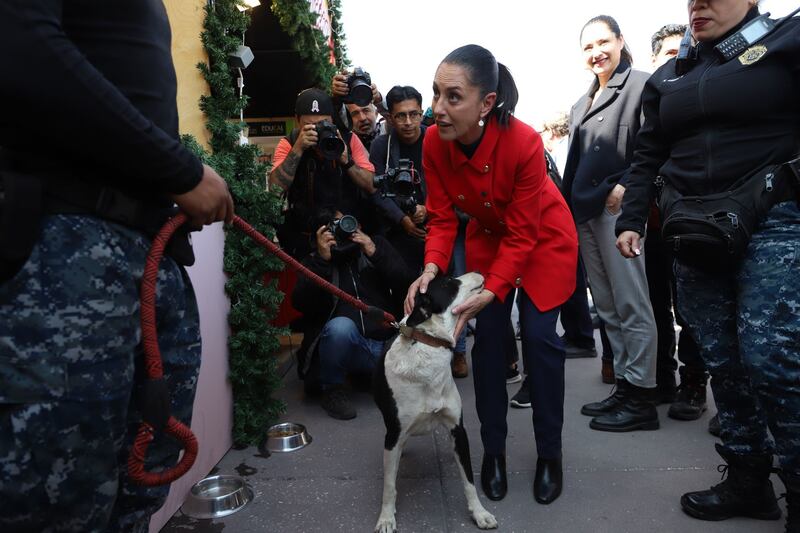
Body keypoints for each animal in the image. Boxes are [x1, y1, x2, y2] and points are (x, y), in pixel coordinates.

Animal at [374, 272, 496, 528]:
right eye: (450, 283)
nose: (478, 272)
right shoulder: (393, 434)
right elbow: (389, 485)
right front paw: (386, 517)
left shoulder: (457, 428)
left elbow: (468, 480)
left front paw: (479, 513)